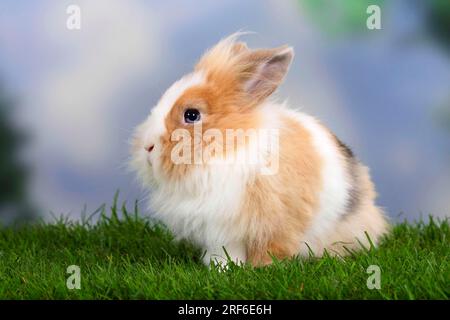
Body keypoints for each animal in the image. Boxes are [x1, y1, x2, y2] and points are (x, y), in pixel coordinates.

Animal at [130, 33, 390, 268]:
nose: (147, 147)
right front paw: (219, 268)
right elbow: (222, 252)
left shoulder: (267, 223)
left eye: (192, 114)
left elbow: (269, 248)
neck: (227, 149)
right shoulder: (218, 229)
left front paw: (258, 268)